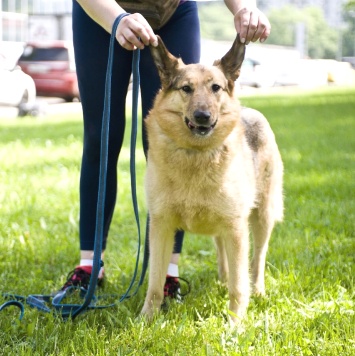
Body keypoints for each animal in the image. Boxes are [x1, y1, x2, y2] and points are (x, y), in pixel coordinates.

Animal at [141, 35, 284, 322]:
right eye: (186, 88)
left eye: (215, 88)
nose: (203, 116)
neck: (195, 153)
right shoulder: (161, 227)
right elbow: (154, 283)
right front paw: (146, 319)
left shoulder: (236, 228)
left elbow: (240, 285)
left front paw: (236, 322)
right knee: (224, 258)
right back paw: (222, 281)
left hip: (261, 218)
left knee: (257, 261)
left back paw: (258, 291)